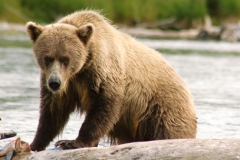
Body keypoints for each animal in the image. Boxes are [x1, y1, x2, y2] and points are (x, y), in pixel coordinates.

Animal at [26, 10, 197, 151]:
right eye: (47, 58)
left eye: (65, 59)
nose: (54, 83)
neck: (81, 70)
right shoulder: (65, 84)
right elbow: (52, 111)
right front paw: (34, 143)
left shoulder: (101, 71)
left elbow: (105, 104)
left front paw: (71, 142)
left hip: (162, 109)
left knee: (169, 132)